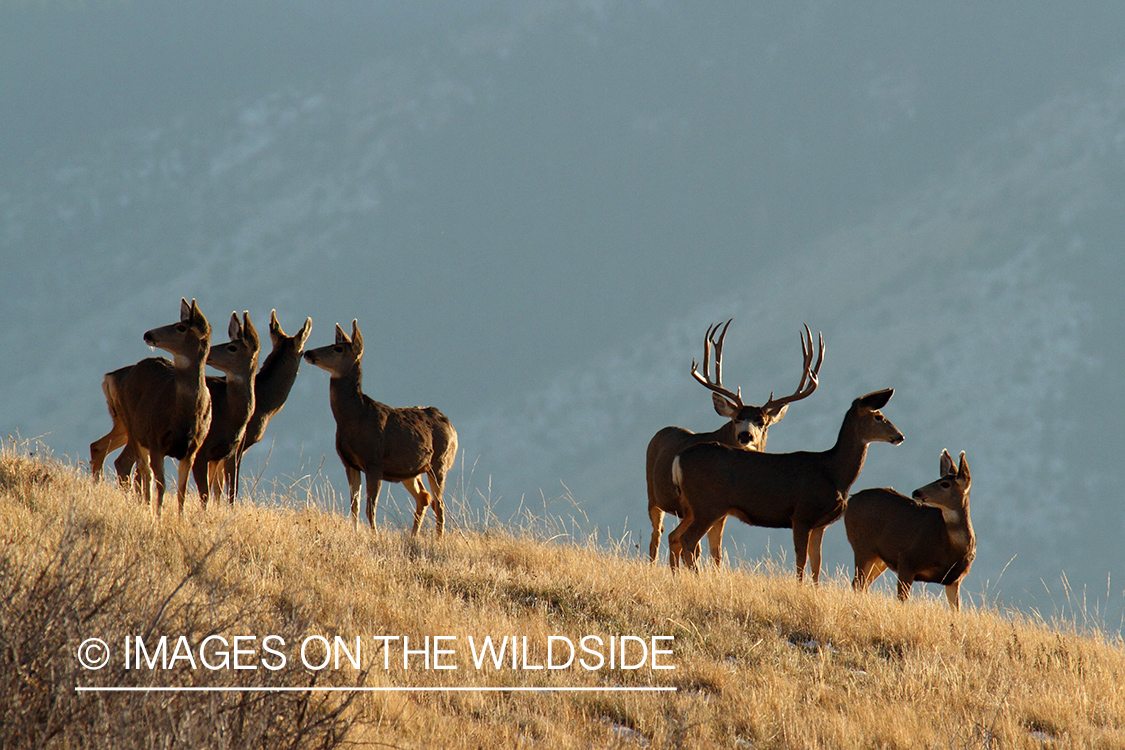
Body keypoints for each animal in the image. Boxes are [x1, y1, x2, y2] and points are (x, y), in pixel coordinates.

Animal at [89, 298, 212, 516]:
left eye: (181, 327)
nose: (148, 334)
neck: (184, 412)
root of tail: (109, 377)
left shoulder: (192, 448)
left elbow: (182, 490)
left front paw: (180, 518)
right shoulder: (156, 440)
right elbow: (160, 483)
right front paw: (158, 516)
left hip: (125, 426)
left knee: (104, 449)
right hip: (132, 426)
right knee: (136, 467)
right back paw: (143, 506)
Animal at [303, 320, 458, 535]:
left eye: (337, 348)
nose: (307, 352)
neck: (354, 420)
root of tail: (451, 426)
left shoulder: (374, 462)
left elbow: (370, 507)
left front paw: (374, 535)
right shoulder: (349, 463)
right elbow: (355, 506)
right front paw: (356, 533)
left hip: (439, 461)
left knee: (439, 503)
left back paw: (438, 538)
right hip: (409, 469)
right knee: (425, 497)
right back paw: (413, 536)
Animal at [646, 320, 824, 567]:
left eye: (762, 422)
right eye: (737, 418)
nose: (745, 436)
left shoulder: (722, 511)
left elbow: (716, 550)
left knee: (676, 538)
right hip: (654, 496)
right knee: (658, 534)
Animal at [668, 388, 903, 581]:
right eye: (879, 416)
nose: (899, 436)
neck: (834, 473)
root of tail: (678, 458)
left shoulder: (820, 524)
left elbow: (816, 564)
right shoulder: (801, 515)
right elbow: (801, 560)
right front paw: (799, 588)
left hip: (694, 507)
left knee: (676, 536)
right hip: (708, 506)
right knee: (688, 540)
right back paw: (697, 578)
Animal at [845, 450, 975, 610]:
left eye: (945, 484)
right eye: (938, 479)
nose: (916, 492)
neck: (952, 549)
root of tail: (850, 500)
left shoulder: (954, 579)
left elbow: (956, 609)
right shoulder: (907, 560)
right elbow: (901, 599)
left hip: (879, 559)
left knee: (863, 584)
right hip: (863, 547)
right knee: (858, 583)